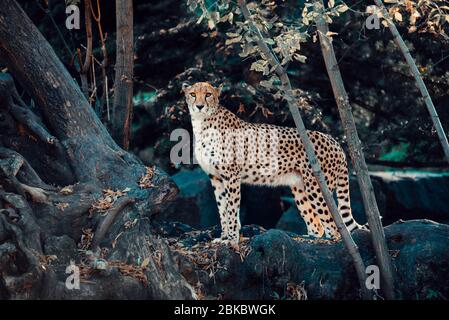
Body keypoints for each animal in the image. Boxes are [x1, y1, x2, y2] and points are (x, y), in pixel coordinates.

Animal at [182, 81, 364, 246]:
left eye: (208, 94)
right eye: (193, 94)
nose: (199, 106)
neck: (202, 122)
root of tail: (333, 140)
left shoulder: (231, 176)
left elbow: (231, 209)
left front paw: (232, 240)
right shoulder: (216, 177)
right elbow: (222, 209)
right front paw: (224, 237)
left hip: (318, 187)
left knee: (335, 227)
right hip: (300, 189)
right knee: (317, 224)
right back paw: (310, 239)